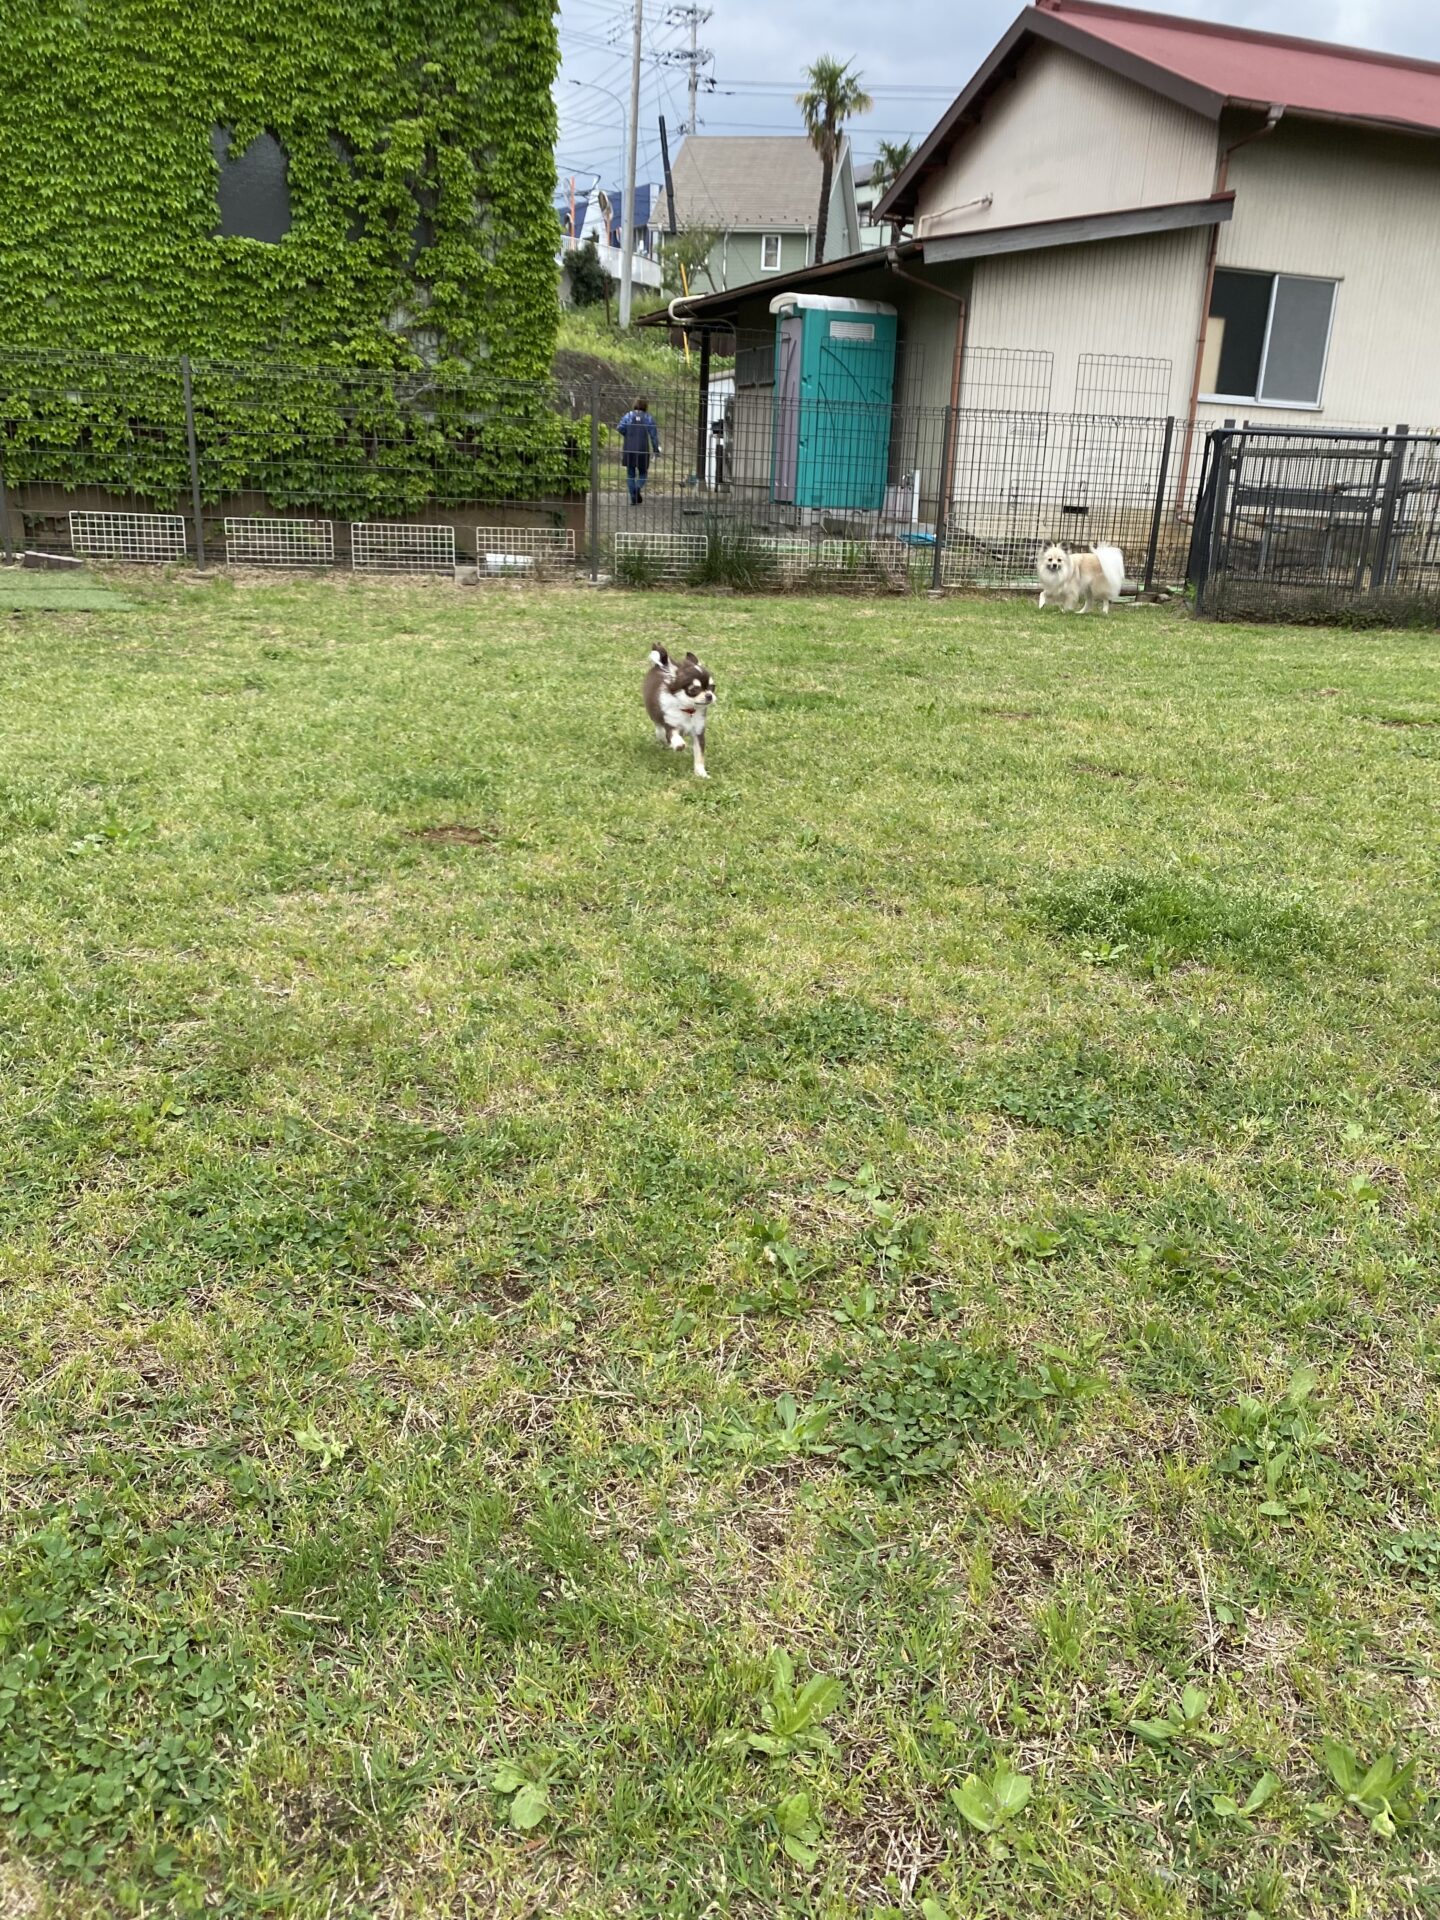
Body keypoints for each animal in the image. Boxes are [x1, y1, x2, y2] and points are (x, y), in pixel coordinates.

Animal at [644, 646, 716, 779]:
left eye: (712, 687)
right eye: (694, 690)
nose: (709, 696)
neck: (688, 710)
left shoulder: (698, 733)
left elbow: (699, 756)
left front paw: (701, 773)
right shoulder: (671, 726)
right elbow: (674, 736)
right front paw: (679, 745)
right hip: (655, 715)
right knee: (659, 728)